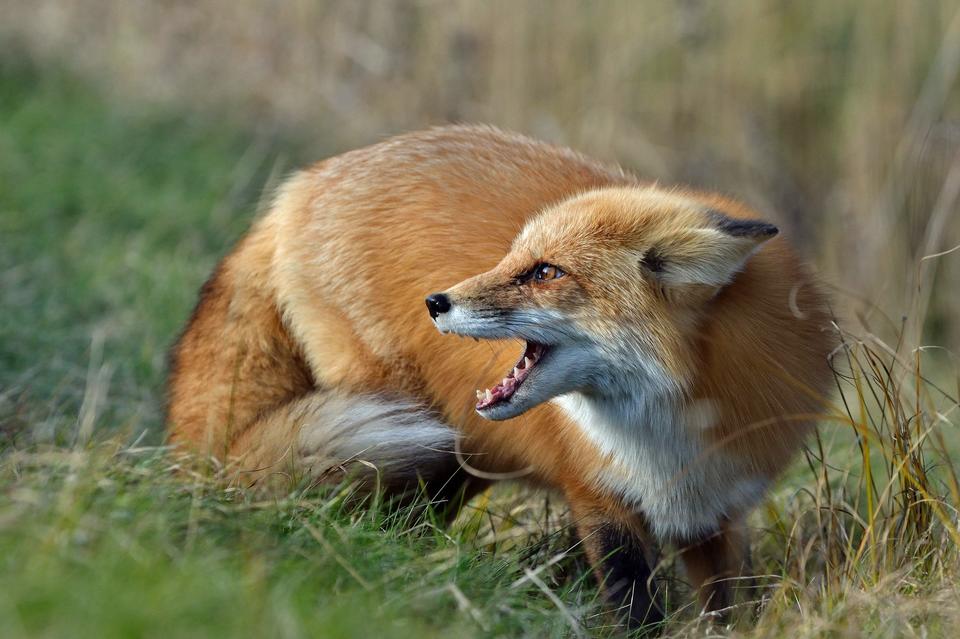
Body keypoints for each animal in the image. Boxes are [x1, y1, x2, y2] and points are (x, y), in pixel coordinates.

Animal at [169, 125, 836, 632]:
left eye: (545, 272)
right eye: (512, 259)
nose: (435, 302)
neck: (666, 432)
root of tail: (299, 186)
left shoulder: (716, 510)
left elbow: (728, 605)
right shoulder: (598, 494)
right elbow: (633, 604)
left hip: (452, 447)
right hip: (407, 421)